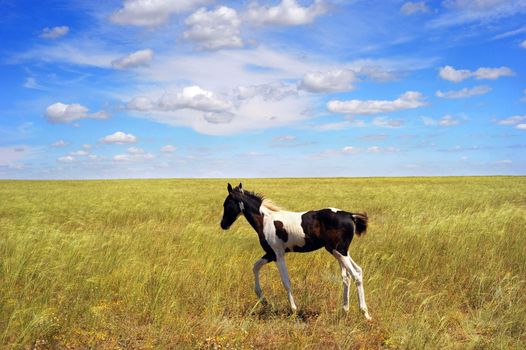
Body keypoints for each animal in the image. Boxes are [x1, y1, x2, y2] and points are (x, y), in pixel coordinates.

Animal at [221, 183, 374, 320]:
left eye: (227, 204)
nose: (223, 225)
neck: (265, 220)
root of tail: (350, 215)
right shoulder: (270, 254)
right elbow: (255, 267)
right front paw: (264, 300)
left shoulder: (278, 255)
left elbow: (286, 282)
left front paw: (293, 309)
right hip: (341, 252)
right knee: (352, 274)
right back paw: (345, 310)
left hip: (338, 251)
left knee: (355, 275)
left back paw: (365, 314)